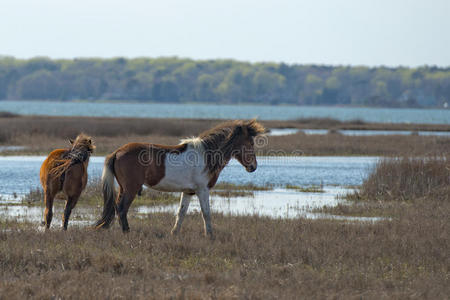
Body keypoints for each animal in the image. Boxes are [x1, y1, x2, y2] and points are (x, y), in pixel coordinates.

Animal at [94, 118, 264, 238]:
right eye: (250, 143)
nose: (253, 167)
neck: (206, 155)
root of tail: (117, 152)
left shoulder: (188, 191)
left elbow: (181, 213)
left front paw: (174, 233)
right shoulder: (202, 190)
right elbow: (206, 213)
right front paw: (210, 235)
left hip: (124, 188)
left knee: (117, 207)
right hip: (131, 188)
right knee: (122, 208)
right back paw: (127, 232)